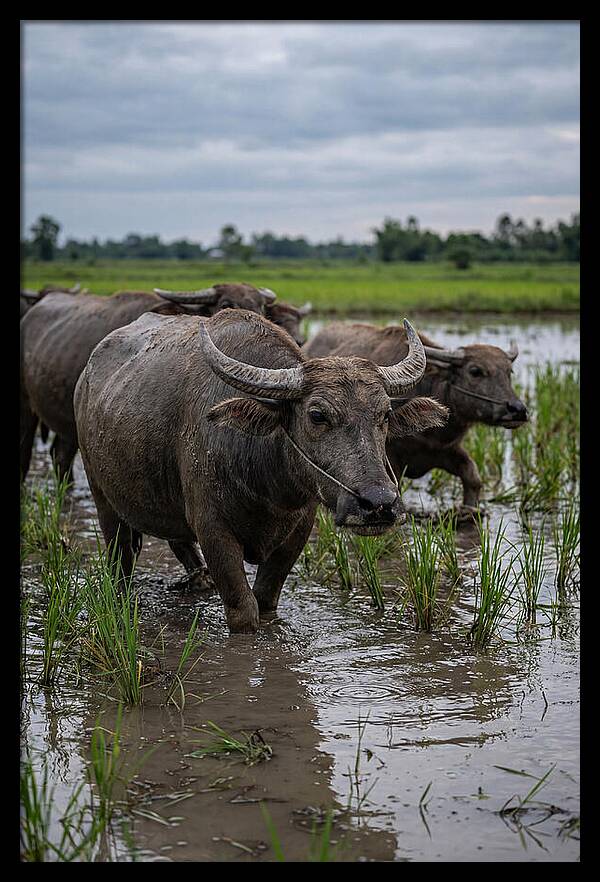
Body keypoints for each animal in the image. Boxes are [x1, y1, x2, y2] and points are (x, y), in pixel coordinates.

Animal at [74, 309, 448, 633]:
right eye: (317, 415)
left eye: (384, 414)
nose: (378, 504)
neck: (268, 484)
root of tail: (85, 379)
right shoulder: (214, 531)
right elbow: (244, 612)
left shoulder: (298, 531)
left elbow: (266, 601)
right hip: (102, 496)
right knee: (120, 559)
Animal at [304, 322, 528, 512]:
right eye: (475, 371)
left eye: (509, 372)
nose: (517, 409)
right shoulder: (390, 460)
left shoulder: (446, 450)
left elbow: (473, 477)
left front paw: (469, 510)